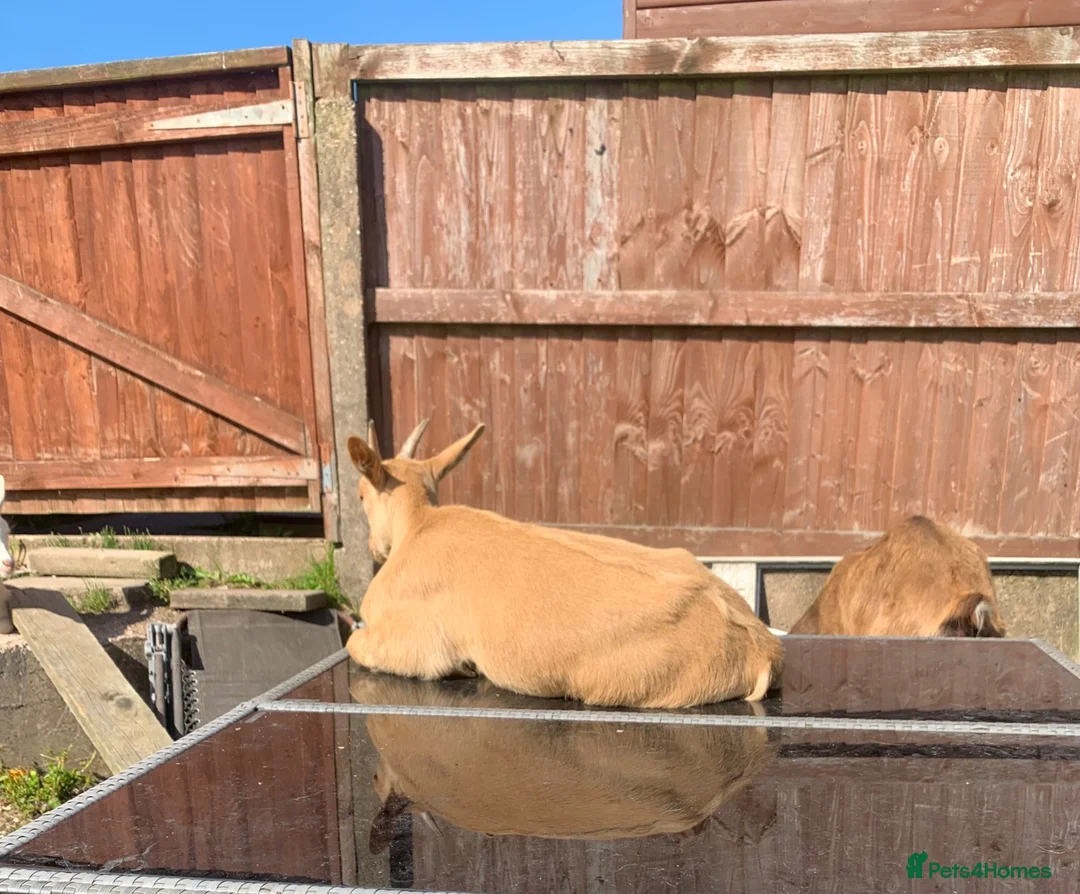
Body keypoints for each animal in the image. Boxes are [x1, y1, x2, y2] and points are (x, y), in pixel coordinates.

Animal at [344, 419, 783, 709]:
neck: (419, 523)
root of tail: (762, 646)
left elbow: (353, 642)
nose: (373, 548)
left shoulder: (406, 644)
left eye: (361, 495)